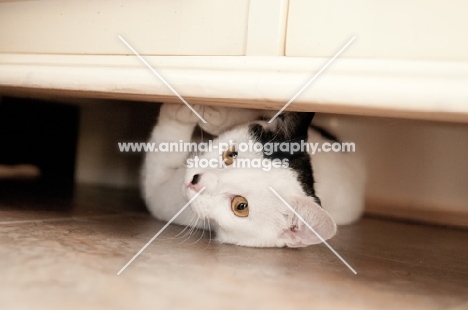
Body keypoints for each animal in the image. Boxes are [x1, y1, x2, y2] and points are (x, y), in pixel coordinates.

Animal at [143, 103, 366, 248]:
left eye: (241, 206)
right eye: (231, 155)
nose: (195, 181)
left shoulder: (163, 197)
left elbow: (162, 156)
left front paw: (179, 113)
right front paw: (216, 114)